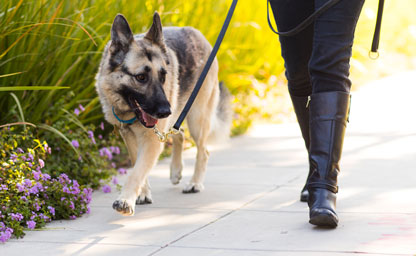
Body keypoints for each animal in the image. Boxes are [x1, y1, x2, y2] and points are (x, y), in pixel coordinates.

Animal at [95, 12, 231, 216]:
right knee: (179, 133)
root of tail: (197, 33)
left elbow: (136, 171)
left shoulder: (151, 139)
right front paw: (142, 193)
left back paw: (195, 183)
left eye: (163, 76)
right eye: (141, 77)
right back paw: (176, 170)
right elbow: (137, 165)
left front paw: (126, 200)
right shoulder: (129, 135)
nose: (166, 111)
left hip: (197, 118)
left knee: (203, 151)